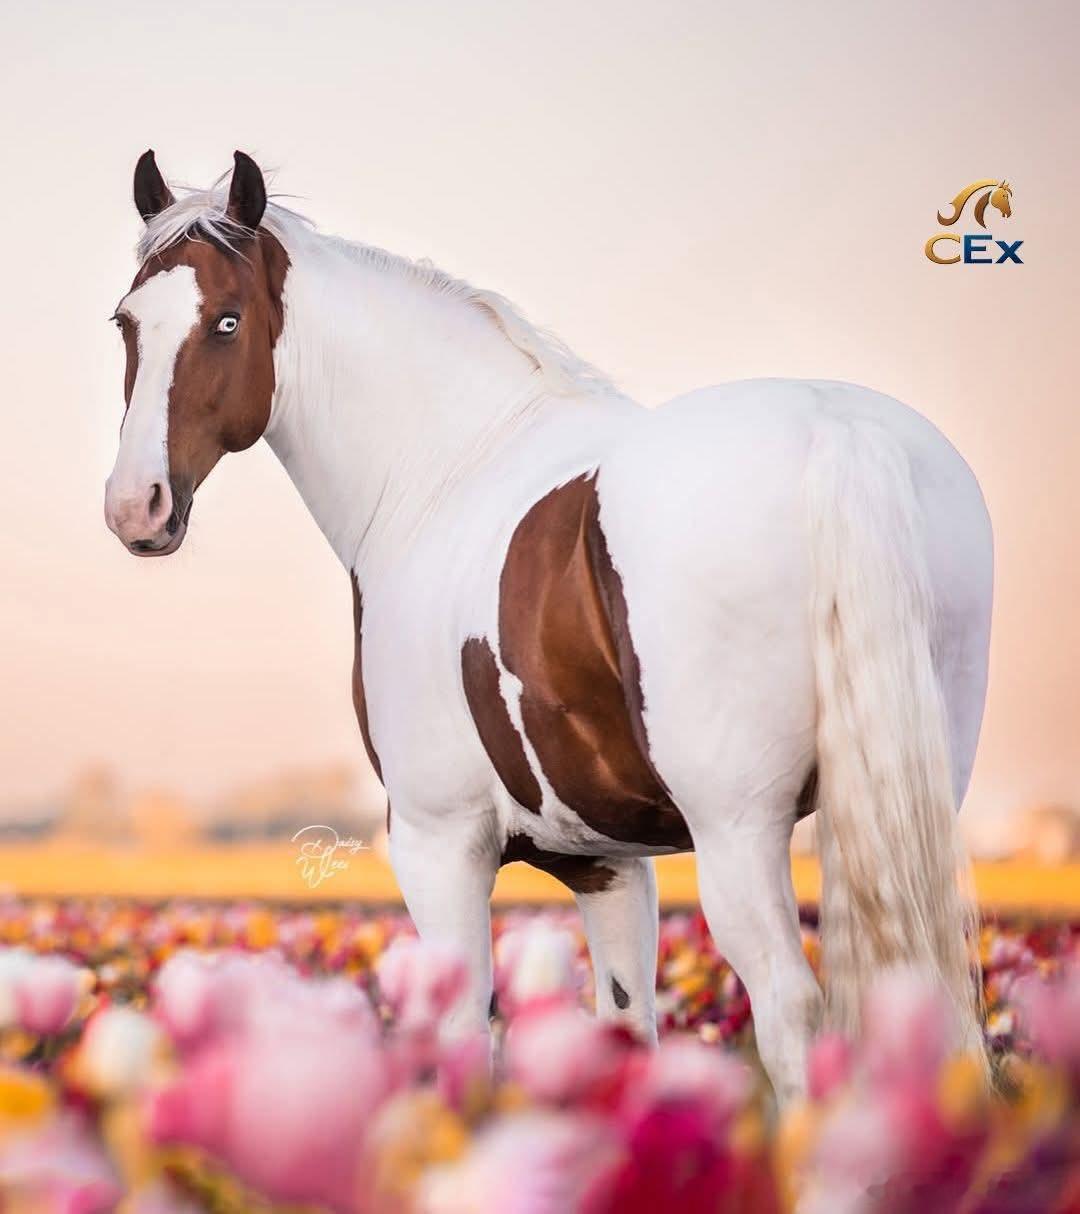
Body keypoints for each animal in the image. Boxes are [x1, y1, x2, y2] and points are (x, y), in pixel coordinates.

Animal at [104, 150, 993, 1103]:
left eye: (227, 321)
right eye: (126, 322)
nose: (135, 506)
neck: (446, 472)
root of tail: (838, 433)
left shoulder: (439, 843)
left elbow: (464, 1037)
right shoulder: (609, 865)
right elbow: (624, 1029)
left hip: (739, 831)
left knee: (789, 1010)